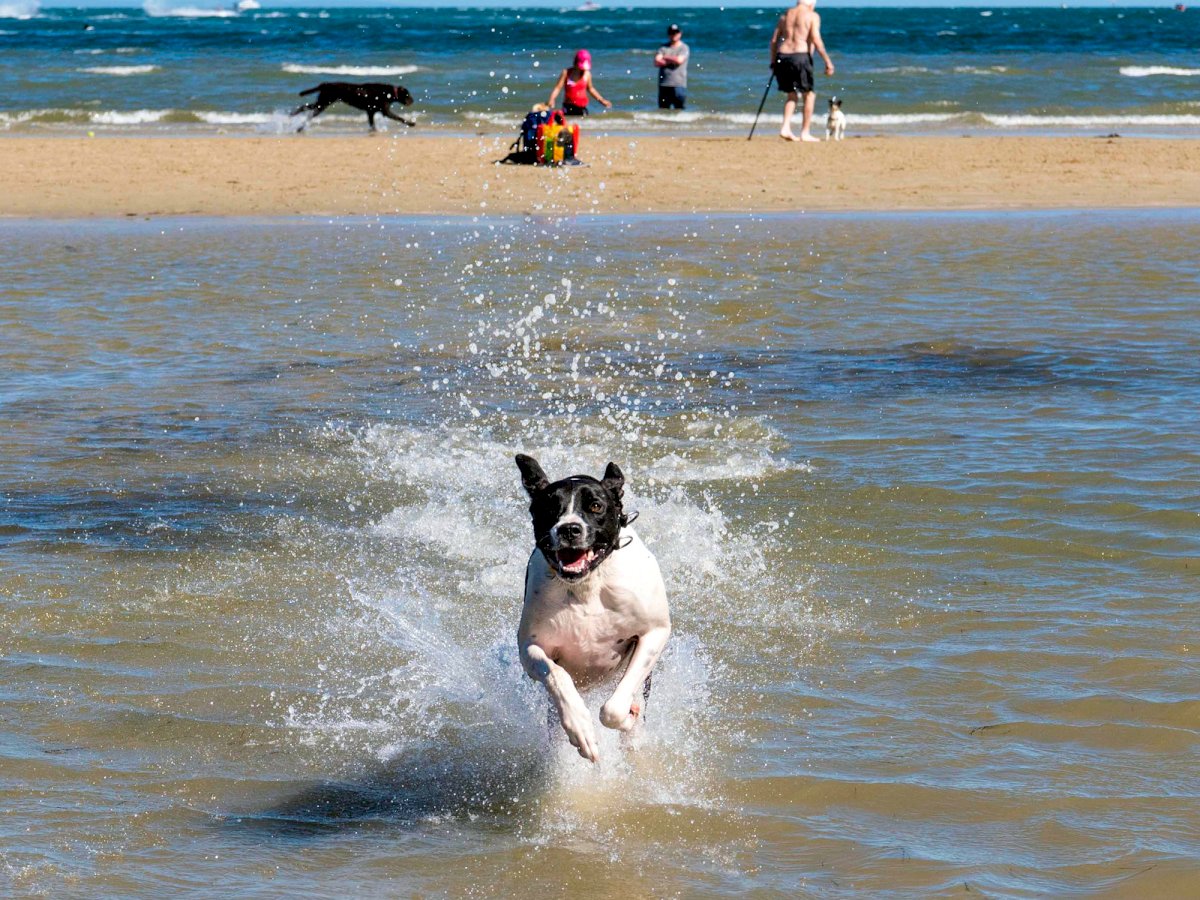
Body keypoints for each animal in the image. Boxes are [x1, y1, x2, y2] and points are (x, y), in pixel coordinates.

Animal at [513, 453, 672, 763]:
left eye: (596, 506)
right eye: (551, 507)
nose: (569, 528)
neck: (587, 584)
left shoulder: (655, 632)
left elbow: (613, 709)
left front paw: (627, 717)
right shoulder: (530, 648)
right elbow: (557, 676)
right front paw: (580, 727)